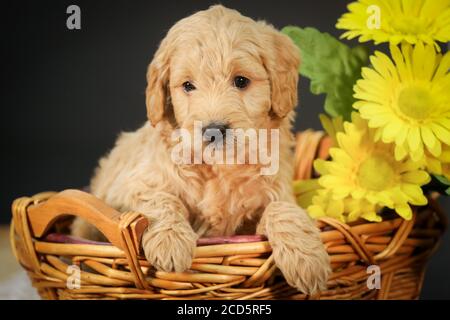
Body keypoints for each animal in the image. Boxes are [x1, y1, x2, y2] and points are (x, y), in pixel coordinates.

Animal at [72, 5, 328, 296]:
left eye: (241, 81)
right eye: (187, 86)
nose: (213, 130)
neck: (220, 168)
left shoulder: (273, 195)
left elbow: (281, 209)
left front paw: (308, 261)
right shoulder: (128, 187)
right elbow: (158, 198)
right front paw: (170, 242)